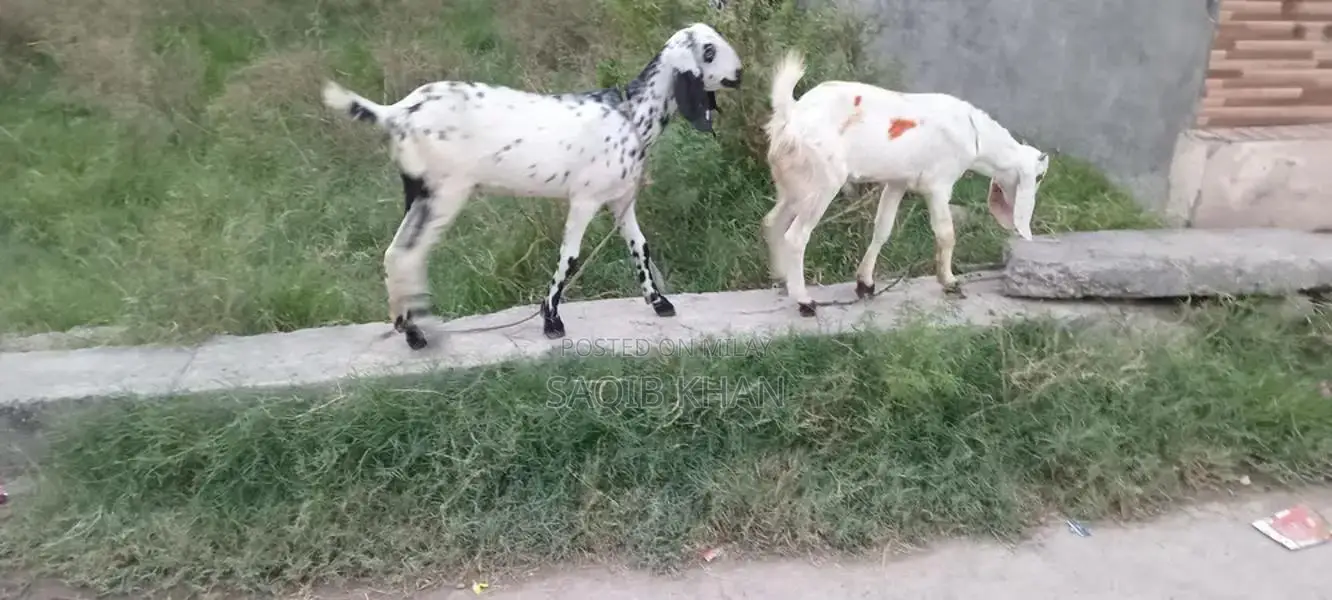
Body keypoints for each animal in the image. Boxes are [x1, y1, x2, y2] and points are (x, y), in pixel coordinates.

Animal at [321, 23, 743, 350]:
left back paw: (406, 325)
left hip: (417, 193)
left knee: (397, 254)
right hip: (443, 194)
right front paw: (551, 320)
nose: (739, 73)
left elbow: (640, 246)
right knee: (407, 255)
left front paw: (658, 302)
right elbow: (570, 256)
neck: (631, 114)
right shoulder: (585, 199)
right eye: (708, 51)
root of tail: (397, 112)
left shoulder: (621, 200)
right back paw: (415, 333)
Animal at [761, 51, 1049, 317]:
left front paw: (865, 283)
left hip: (794, 184)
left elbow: (882, 229)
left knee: (773, 221)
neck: (975, 135)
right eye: (1039, 176)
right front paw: (950, 282)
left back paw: (782, 278)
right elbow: (946, 234)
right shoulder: (938, 185)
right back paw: (804, 301)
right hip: (822, 182)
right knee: (796, 236)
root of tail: (791, 115)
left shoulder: (897, 182)